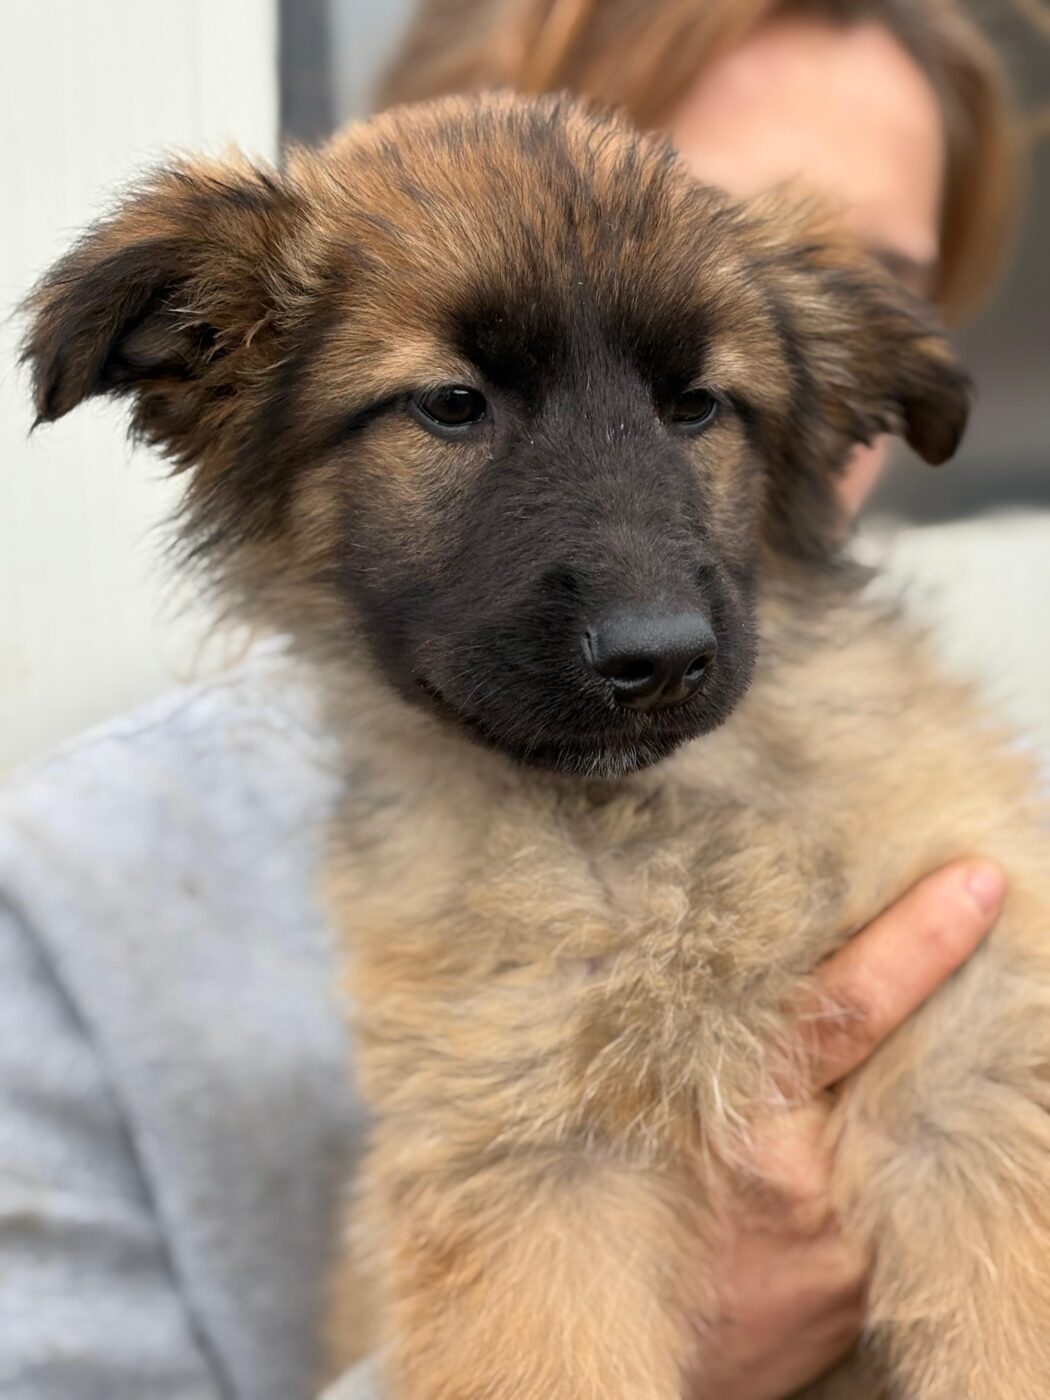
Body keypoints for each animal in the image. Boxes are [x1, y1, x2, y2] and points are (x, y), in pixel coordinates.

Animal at [23, 92, 1050, 1399]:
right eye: (452, 404)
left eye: (697, 405)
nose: (659, 657)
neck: (660, 830)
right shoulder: (531, 1159)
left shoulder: (979, 1065)